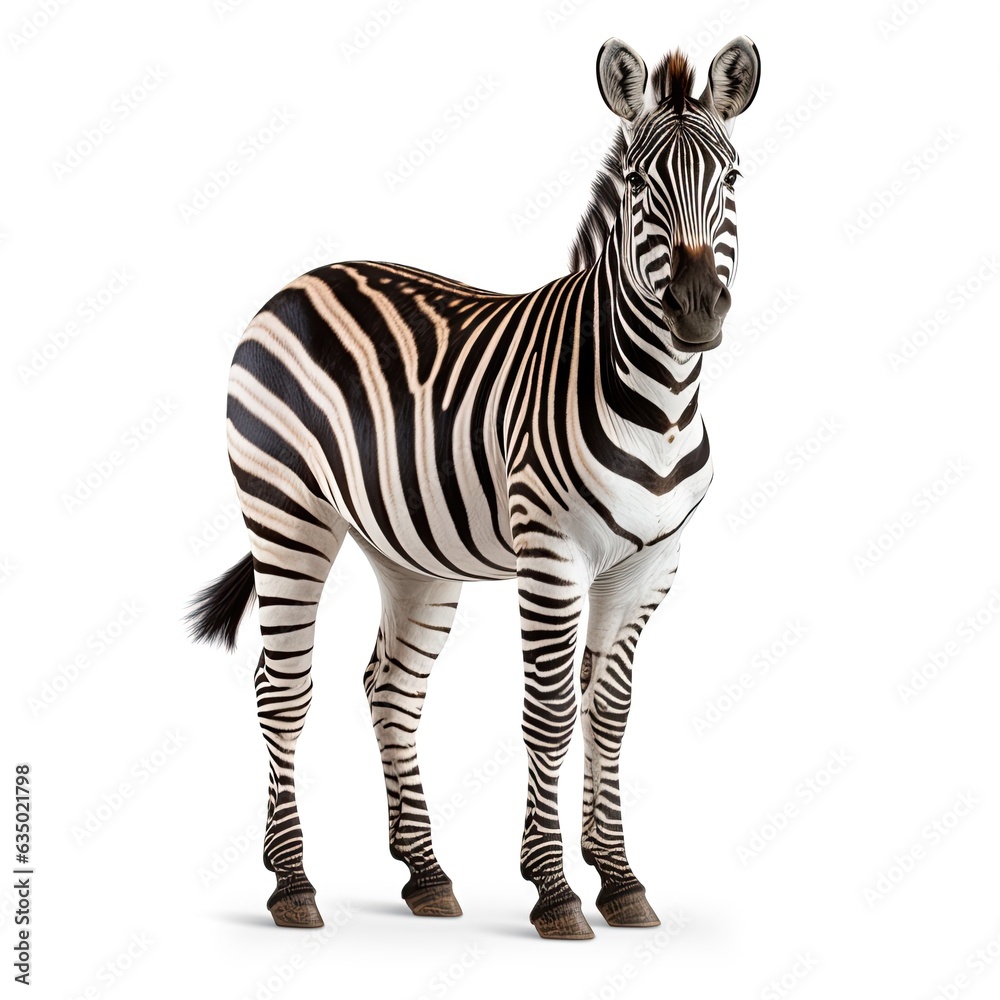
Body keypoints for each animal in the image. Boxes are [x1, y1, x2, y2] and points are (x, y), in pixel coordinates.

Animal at [188, 36, 760, 939]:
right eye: (639, 183)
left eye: (731, 177)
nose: (699, 312)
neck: (661, 403)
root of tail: (303, 279)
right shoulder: (551, 556)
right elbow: (551, 713)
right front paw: (555, 891)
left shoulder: (649, 567)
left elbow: (610, 713)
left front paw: (620, 879)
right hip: (285, 511)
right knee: (280, 689)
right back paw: (293, 886)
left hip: (408, 552)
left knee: (390, 688)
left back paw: (425, 874)